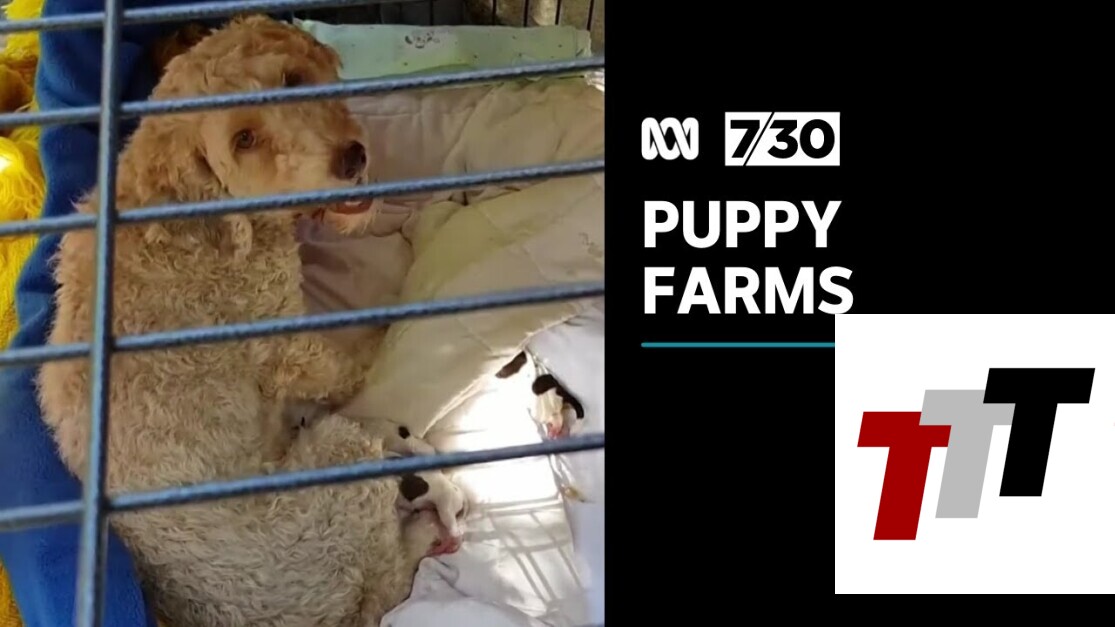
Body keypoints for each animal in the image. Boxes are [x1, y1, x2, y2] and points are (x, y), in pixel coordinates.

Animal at [40, 16, 461, 627]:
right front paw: (379, 334)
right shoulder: (286, 342)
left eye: (293, 79)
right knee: (387, 576)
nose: (351, 158)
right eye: (244, 140)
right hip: (342, 465)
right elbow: (347, 364)